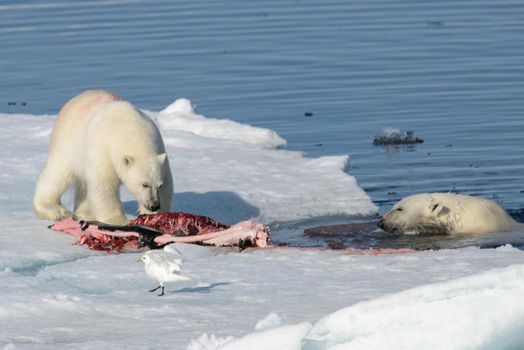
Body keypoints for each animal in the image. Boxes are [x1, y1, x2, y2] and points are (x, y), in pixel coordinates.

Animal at [33, 90, 175, 226]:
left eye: (160, 185)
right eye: (144, 184)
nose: (154, 205)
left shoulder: (159, 147)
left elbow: (168, 184)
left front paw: (155, 216)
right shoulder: (102, 149)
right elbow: (104, 185)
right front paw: (119, 220)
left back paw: (85, 213)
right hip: (66, 143)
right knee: (57, 174)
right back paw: (57, 210)